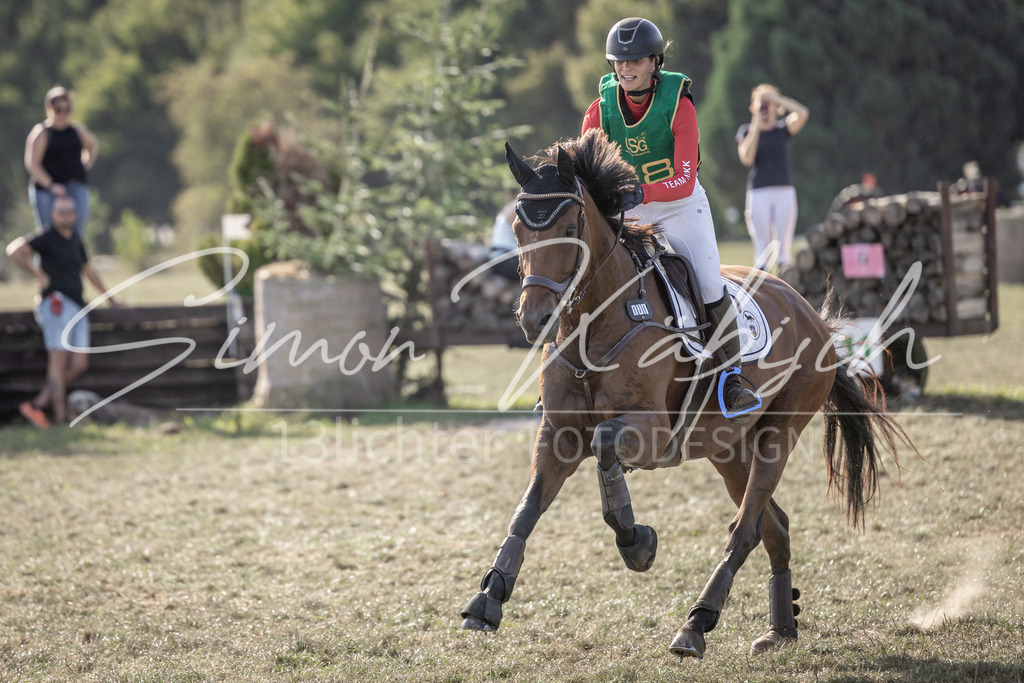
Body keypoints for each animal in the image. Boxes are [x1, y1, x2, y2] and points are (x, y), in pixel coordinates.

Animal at [459, 129, 914, 659]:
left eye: (570, 225)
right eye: (518, 229)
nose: (535, 320)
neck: (597, 323)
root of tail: (811, 314)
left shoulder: (651, 433)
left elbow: (605, 446)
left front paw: (637, 542)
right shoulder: (559, 434)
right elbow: (528, 507)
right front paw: (488, 597)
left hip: (778, 436)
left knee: (746, 528)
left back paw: (696, 623)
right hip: (728, 450)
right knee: (773, 526)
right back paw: (780, 629)